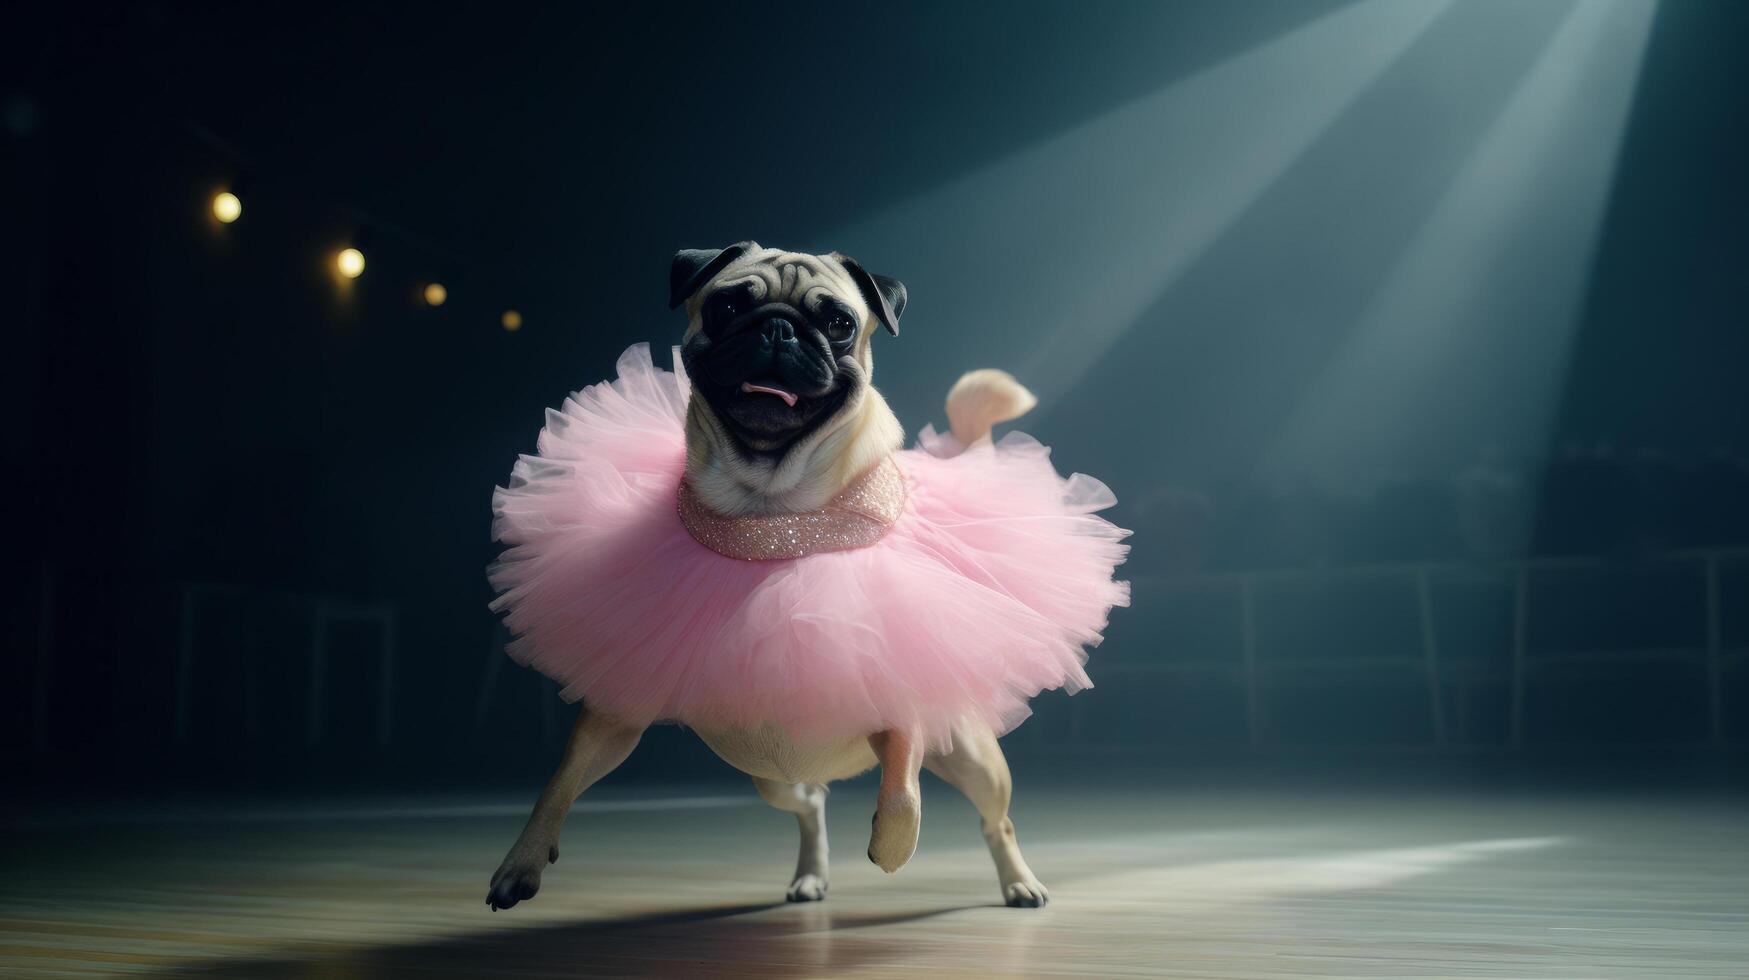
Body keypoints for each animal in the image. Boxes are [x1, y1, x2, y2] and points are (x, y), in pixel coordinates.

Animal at [486, 243, 1042, 910]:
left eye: (839, 323)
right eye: (727, 306)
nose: (778, 328)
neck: (771, 507)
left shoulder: (903, 706)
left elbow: (903, 786)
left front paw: (892, 845)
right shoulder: (611, 717)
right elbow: (559, 784)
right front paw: (521, 863)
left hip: (970, 756)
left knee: (995, 819)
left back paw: (1019, 882)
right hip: (772, 772)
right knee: (811, 803)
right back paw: (811, 874)